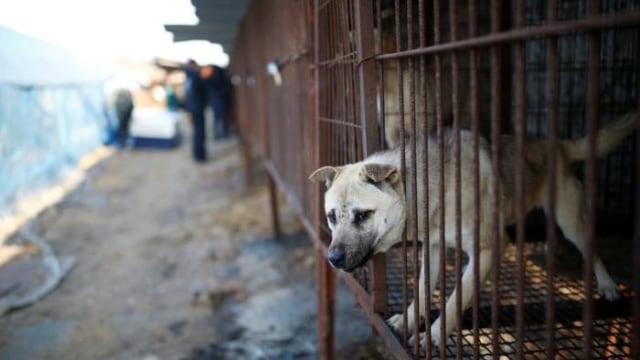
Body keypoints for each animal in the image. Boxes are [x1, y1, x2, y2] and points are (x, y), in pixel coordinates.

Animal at [308, 110, 636, 348]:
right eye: (332, 217)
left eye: (363, 215)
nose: (332, 259)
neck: (432, 187)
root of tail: (556, 144)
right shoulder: (434, 249)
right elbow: (423, 291)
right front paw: (409, 320)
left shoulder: (491, 246)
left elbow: (455, 301)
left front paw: (435, 336)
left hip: (571, 222)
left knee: (592, 250)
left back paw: (608, 286)